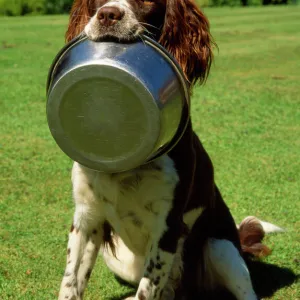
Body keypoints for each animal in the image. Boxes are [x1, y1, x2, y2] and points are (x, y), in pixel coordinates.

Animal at [57, 0, 282, 300]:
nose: (107, 14)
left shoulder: (168, 226)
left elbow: (147, 289)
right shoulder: (87, 218)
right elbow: (70, 283)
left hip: (220, 247)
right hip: (116, 258)